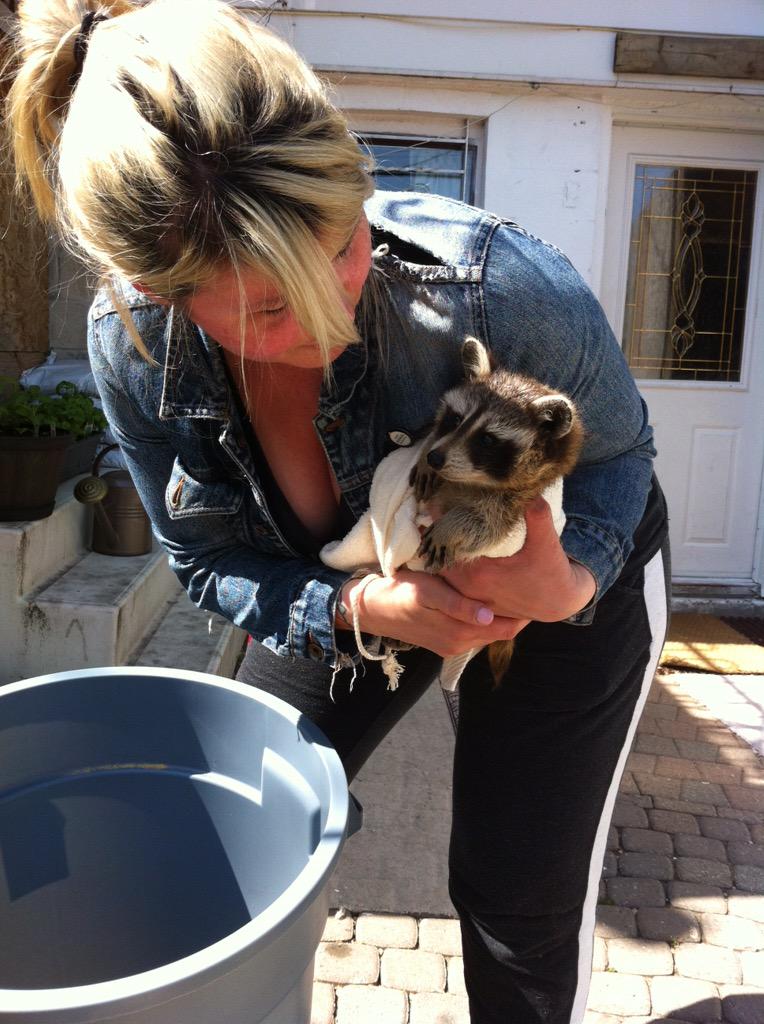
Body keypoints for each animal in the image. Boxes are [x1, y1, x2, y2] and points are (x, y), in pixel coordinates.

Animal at [409, 336, 584, 683]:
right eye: (455, 419)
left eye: (487, 440)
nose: (435, 458)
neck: (474, 481)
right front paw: (424, 454)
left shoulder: (517, 503)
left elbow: (486, 526)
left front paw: (454, 525)